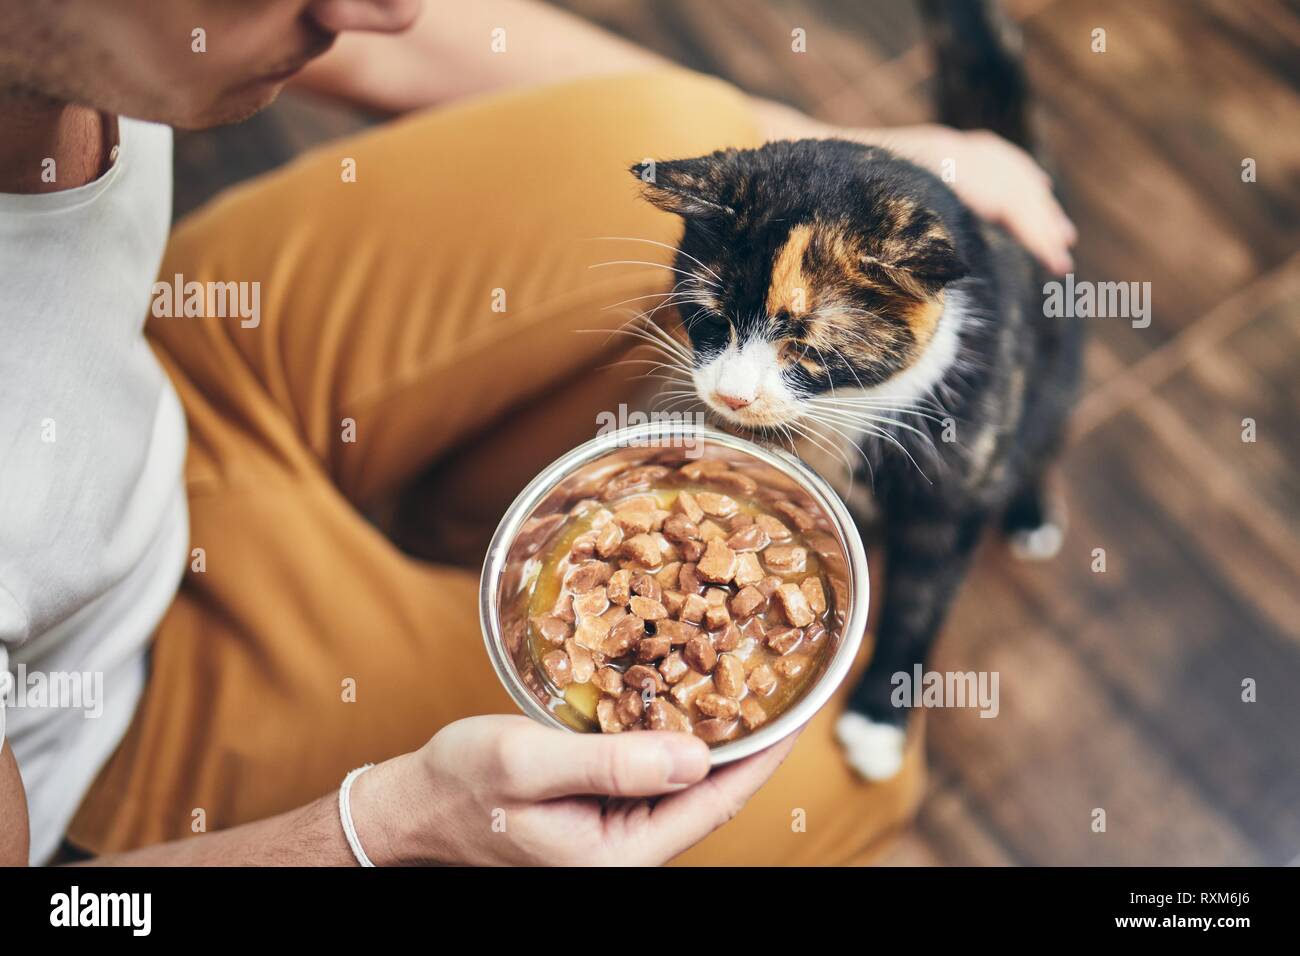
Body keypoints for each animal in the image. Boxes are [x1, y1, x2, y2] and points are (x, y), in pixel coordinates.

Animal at [629, 0, 1076, 780]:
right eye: (710, 318)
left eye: (807, 347)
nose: (733, 398)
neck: (843, 413)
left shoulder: (949, 491)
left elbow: (919, 601)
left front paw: (878, 720)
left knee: (1043, 437)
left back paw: (1029, 511)